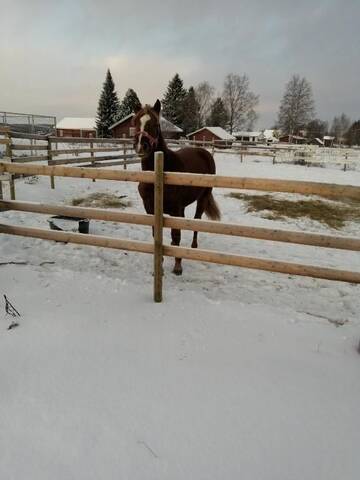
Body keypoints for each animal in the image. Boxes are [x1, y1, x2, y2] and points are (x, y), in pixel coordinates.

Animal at [134, 100, 221, 274]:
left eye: (155, 124)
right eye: (135, 123)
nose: (141, 146)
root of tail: (204, 152)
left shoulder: (175, 210)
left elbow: (176, 234)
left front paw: (178, 265)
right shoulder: (150, 209)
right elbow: (156, 233)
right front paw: (160, 262)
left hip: (202, 198)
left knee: (196, 220)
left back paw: (193, 246)